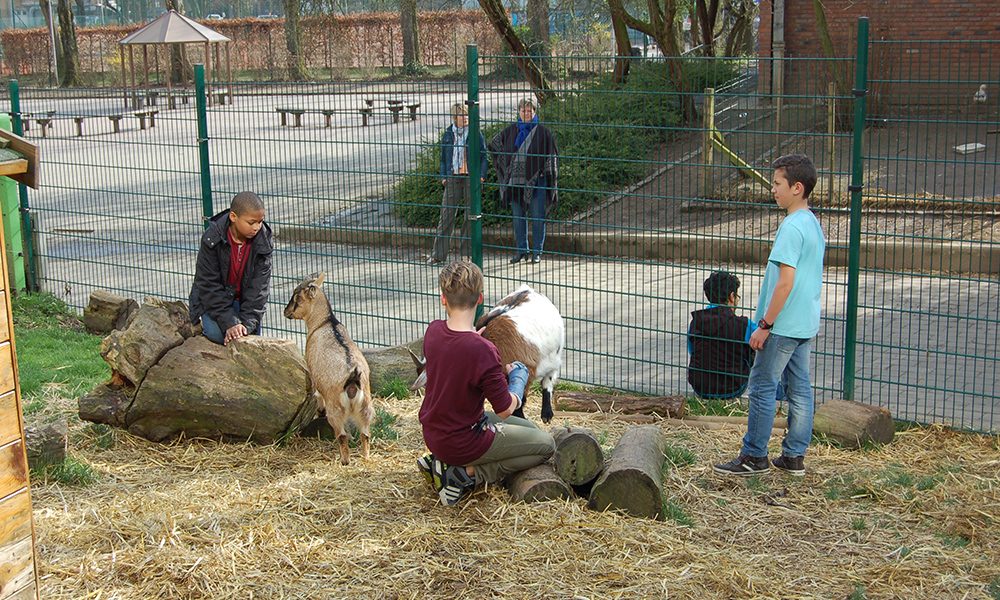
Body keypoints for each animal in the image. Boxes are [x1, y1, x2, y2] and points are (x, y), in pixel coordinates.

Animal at [284, 272, 374, 464]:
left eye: (297, 298)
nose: (286, 312)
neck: (324, 323)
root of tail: (353, 378)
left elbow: (317, 397)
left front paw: (319, 412)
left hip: (336, 411)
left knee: (342, 435)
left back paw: (344, 461)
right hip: (366, 406)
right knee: (365, 434)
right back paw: (365, 457)